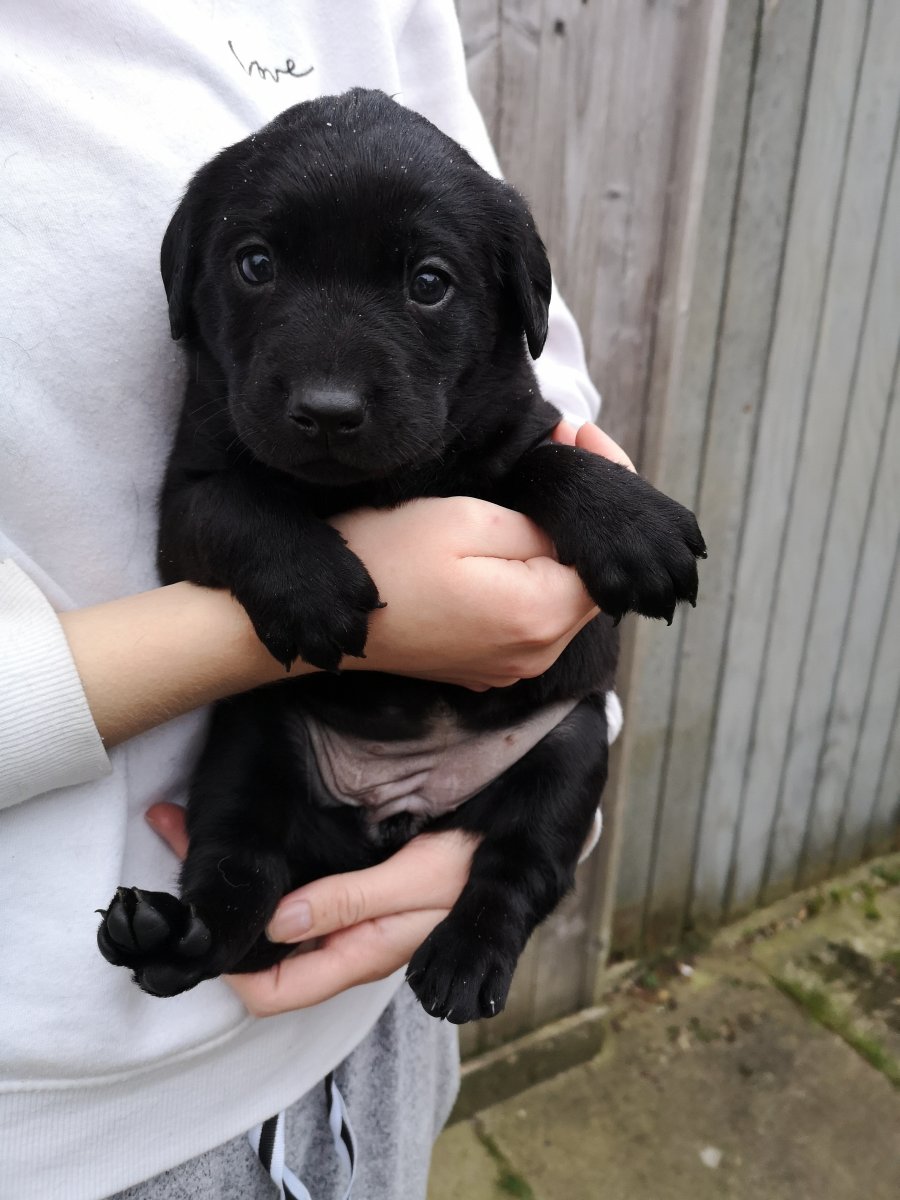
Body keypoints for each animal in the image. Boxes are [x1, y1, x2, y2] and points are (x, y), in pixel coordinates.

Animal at [97, 89, 705, 1023]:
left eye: (428, 283)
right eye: (255, 264)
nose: (327, 409)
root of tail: (395, 814)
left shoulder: (511, 432)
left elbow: (544, 459)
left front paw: (631, 520)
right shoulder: (186, 495)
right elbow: (242, 505)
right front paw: (313, 587)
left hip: (569, 747)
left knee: (517, 869)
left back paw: (465, 956)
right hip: (253, 738)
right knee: (240, 868)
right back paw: (171, 934)